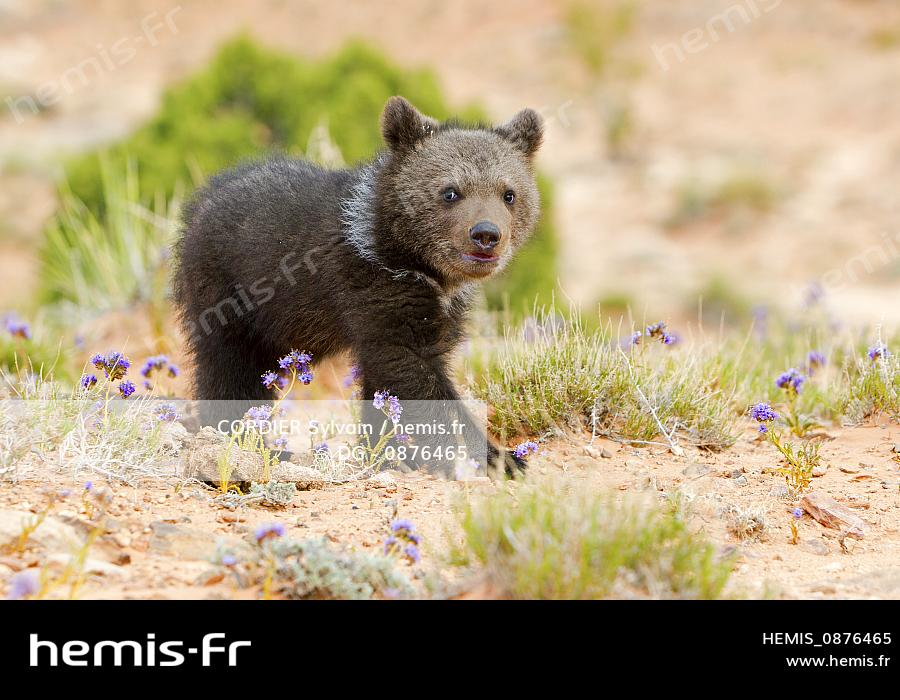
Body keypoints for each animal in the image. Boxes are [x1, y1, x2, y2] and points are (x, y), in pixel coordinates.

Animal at [173, 96, 544, 475]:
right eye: (451, 192)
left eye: (509, 194)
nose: (486, 234)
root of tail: (202, 199)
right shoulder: (377, 294)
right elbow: (416, 376)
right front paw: (484, 457)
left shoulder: (431, 312)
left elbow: (386, 385)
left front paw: (388, 451)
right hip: (228, 296)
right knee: (230, 368)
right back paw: (246, 442)